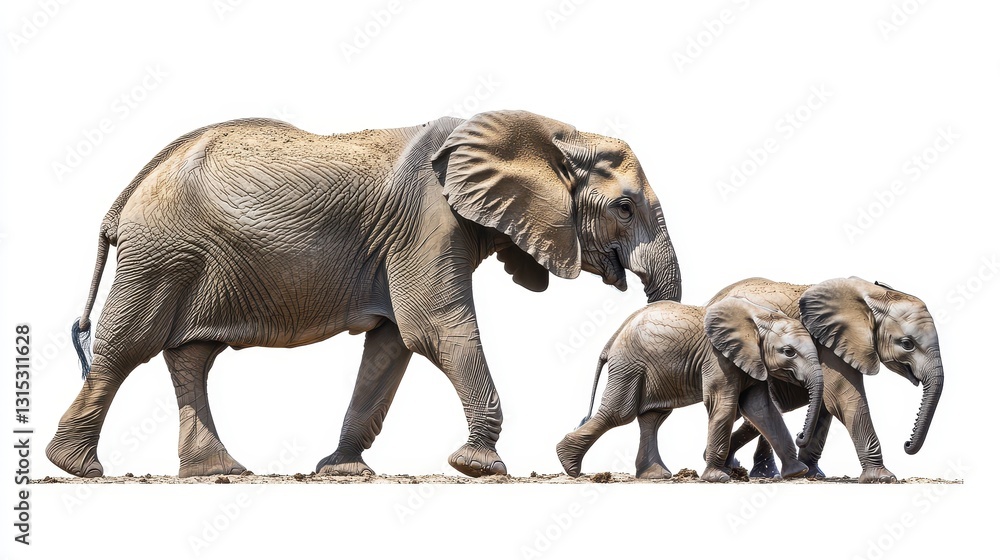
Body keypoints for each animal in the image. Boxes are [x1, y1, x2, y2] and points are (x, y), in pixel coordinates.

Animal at [45, 110, 682, 478]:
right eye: (625, 207)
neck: (550, 132)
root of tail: (124, 196)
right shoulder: (427, 221)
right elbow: (435, 328)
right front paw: (480, 467)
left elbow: (391, 345)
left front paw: (341, 471)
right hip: (162, 251)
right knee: (129, 344)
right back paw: (78, 468)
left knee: (190, 356)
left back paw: (218, 471)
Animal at [555, 296, 824, 482]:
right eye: (788, 352)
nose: (801, 435)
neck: (760, 316)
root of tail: (613, 338)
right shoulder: (718, 358)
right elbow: (723, 405)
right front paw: (718, 478)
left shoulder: (751, 360)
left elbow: (762, 410)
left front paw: (797, 473)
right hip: (629, 364)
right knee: (620, 413)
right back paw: (569, 464)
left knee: (653, 417)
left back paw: (655, 475)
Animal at [708, 277, 944, 483]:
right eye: (907, 344)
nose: (906, 444)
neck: (872, 293)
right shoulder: (829, 342)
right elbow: (841, 395)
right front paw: (882, 478)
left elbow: (826, 405)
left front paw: (814, 475)